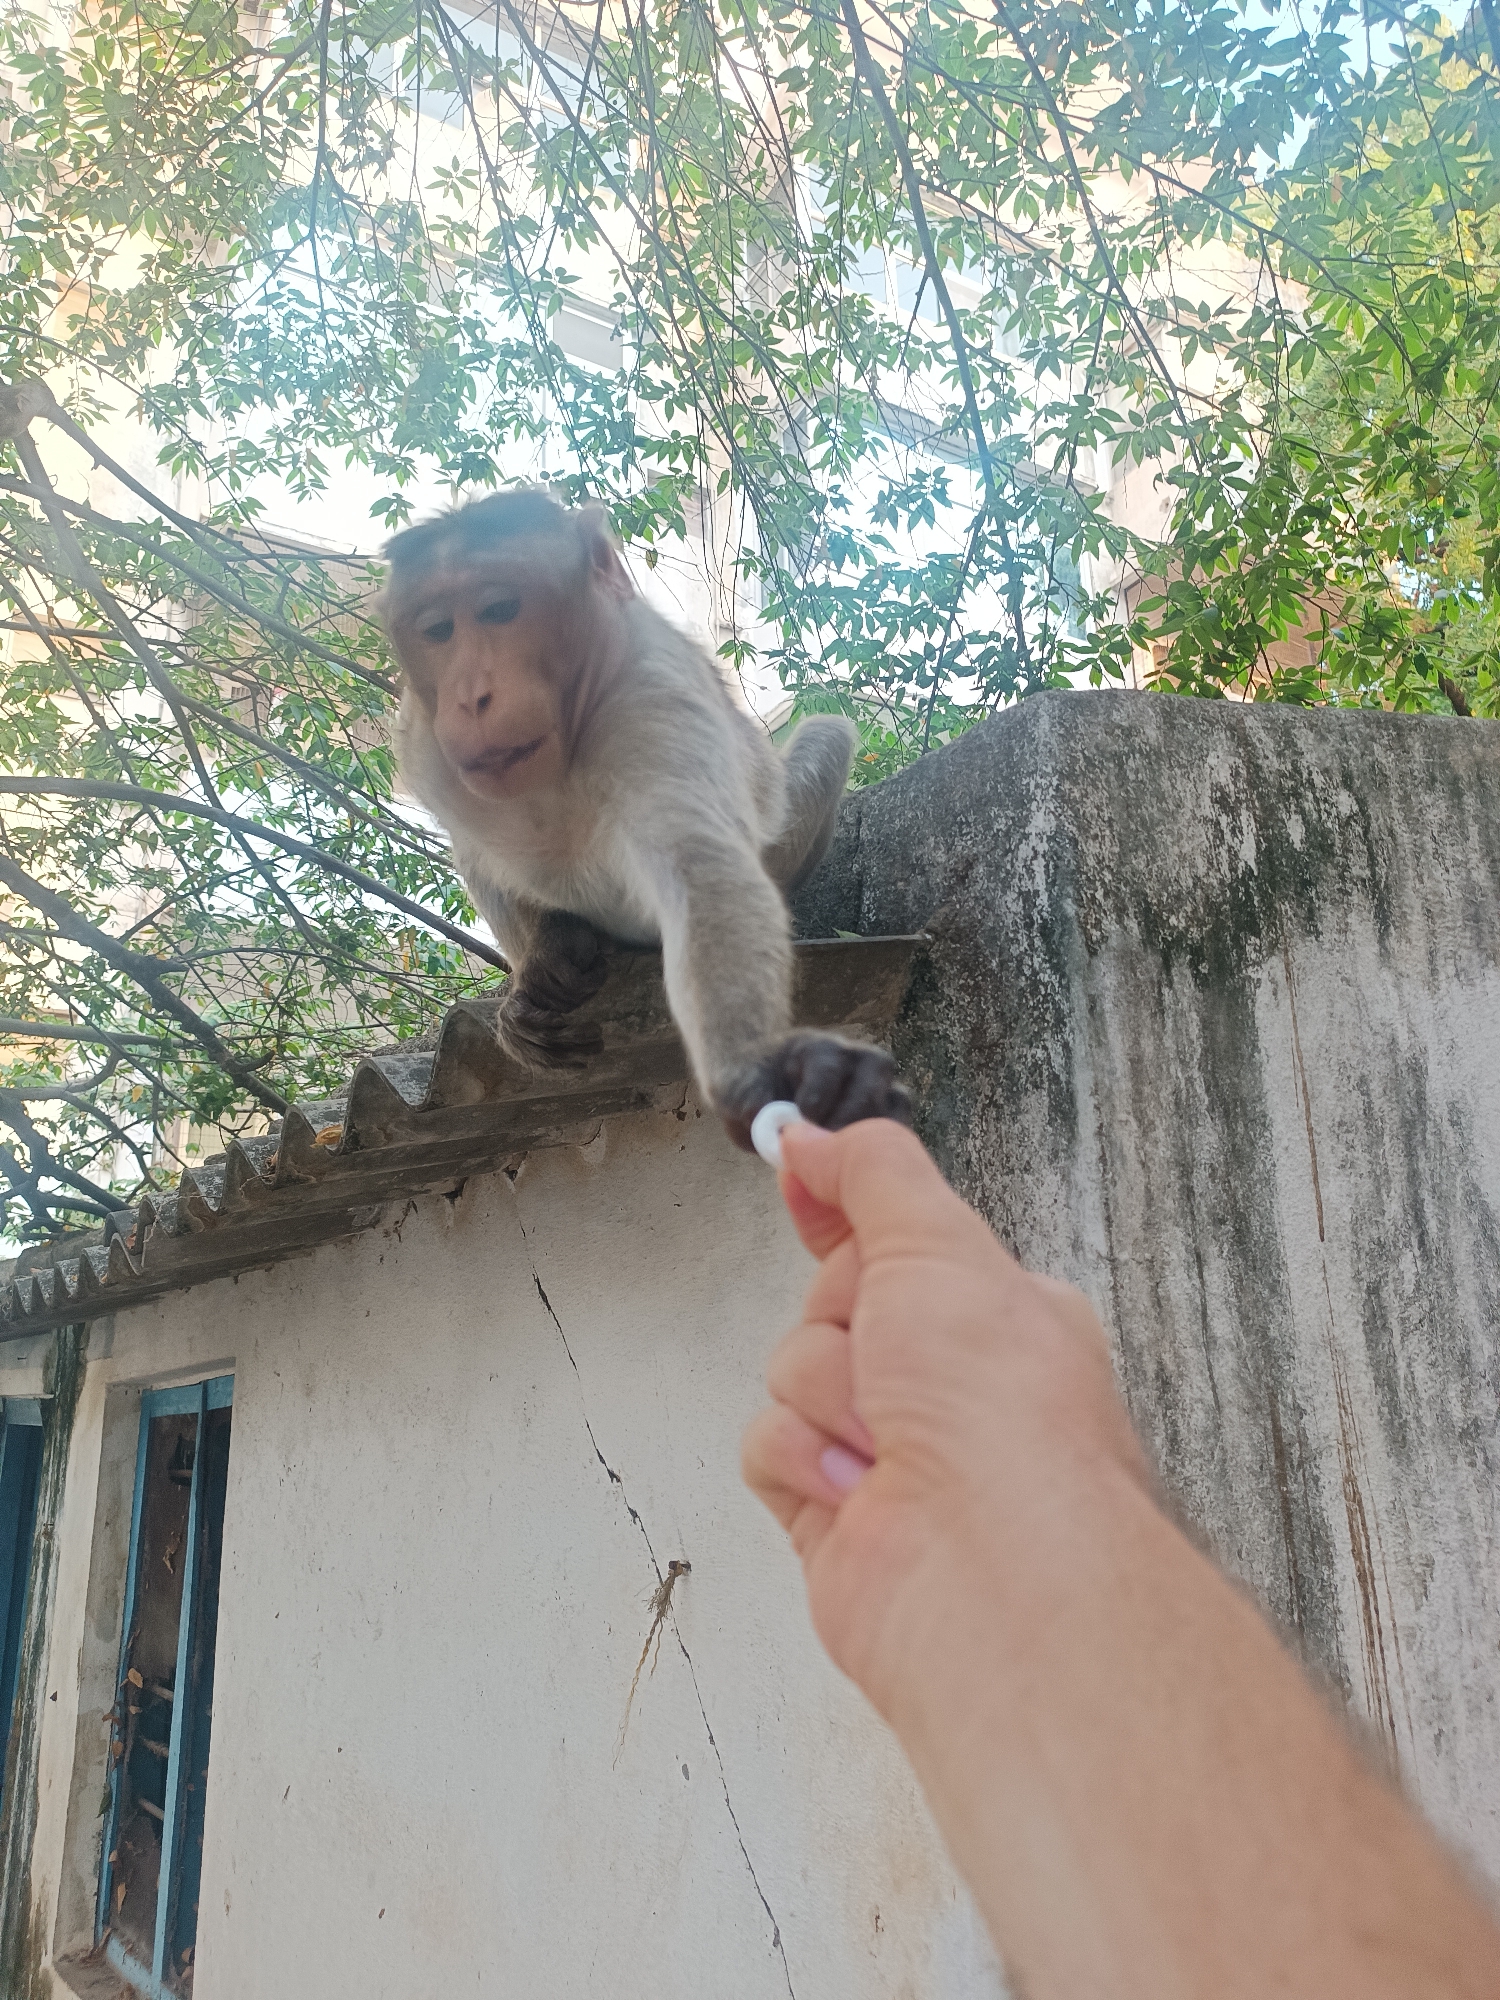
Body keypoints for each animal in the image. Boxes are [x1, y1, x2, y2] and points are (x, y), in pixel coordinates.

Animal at [383, 488, 910, 1149]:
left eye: (499, 609)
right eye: (438, 630)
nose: (471, 697)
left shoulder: (650, 694)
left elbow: (702, 870)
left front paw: (757, 1071)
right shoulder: (424, 744)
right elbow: (476, 847)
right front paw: (541, 964)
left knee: (828, 734)